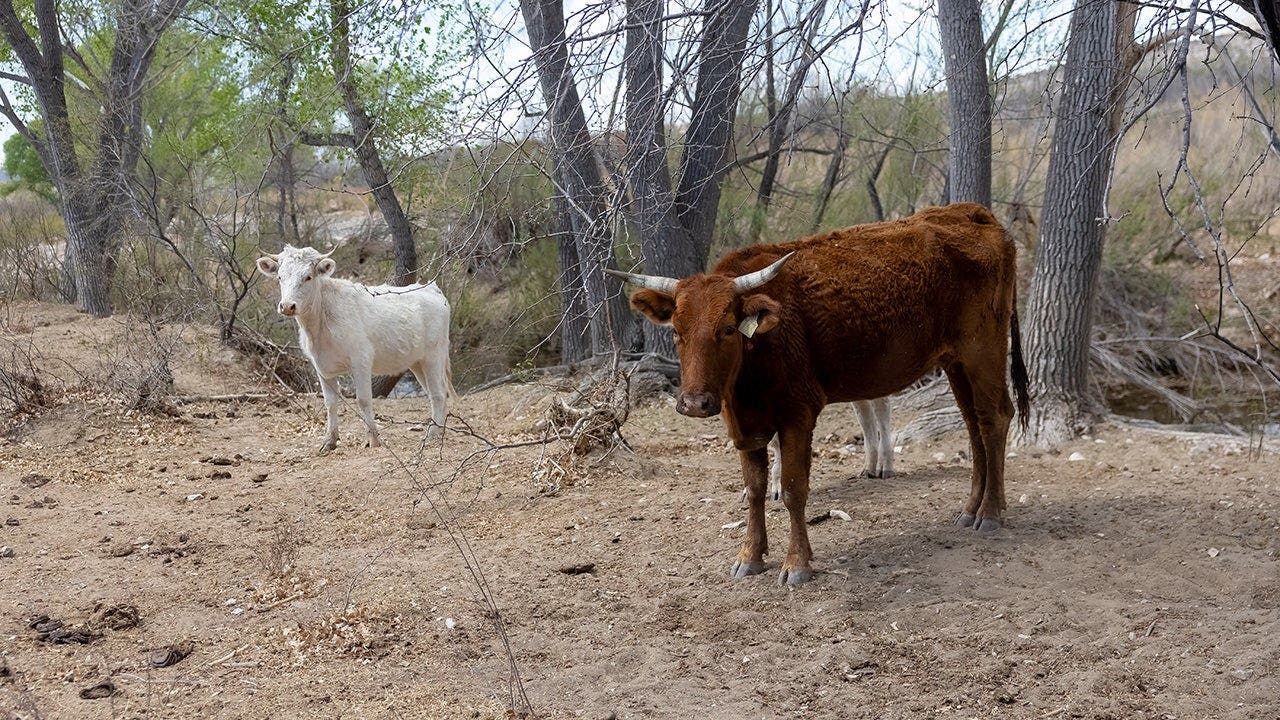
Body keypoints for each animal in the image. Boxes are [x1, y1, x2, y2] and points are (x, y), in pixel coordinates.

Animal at [256, 245, 453, 453]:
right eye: (280, 277)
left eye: (308, 277)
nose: (287, 306)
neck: (319, 324)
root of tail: (432, 288)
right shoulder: (322, 367)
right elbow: (330, 403)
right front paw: (329, 441)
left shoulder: (361, 360)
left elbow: (363, 399)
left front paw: (373, 440)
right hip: (417, 362)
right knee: (435, 393)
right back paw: (439, 432)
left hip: (434, 356)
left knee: (438, 395)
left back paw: (431, 435)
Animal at [608, 203, 1029, 585]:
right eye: (677, 332)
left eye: (727, 329)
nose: (695, 403)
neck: (758, 353)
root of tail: (973, 212)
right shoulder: (745, 427)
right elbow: (755, 488)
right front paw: (750, 557)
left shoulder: (798, 414)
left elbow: (794, 489)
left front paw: (797, 564)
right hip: (955, 362)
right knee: (973, 426)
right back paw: (971, 508)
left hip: (984, 351)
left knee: (994, 418)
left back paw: (990, 513)